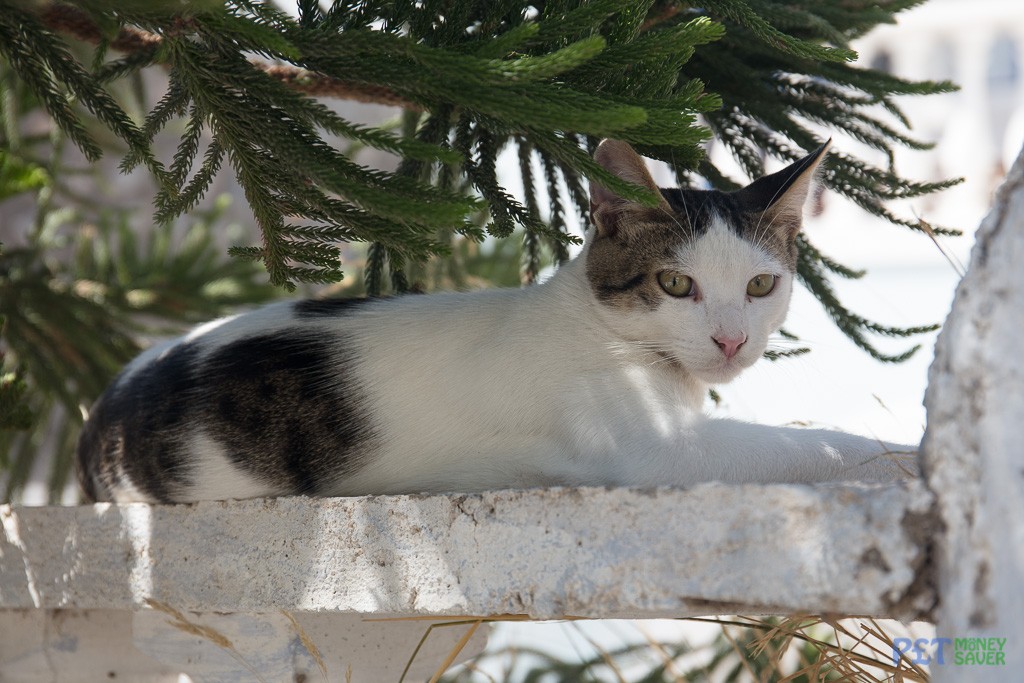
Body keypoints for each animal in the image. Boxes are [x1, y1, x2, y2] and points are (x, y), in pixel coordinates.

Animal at [75, 140, 917, 501]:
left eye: (761, 284)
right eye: (675, 284)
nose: (731, 339)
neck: (596, 320)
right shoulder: (657, 450)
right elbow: (809, 445)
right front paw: (904, 452)